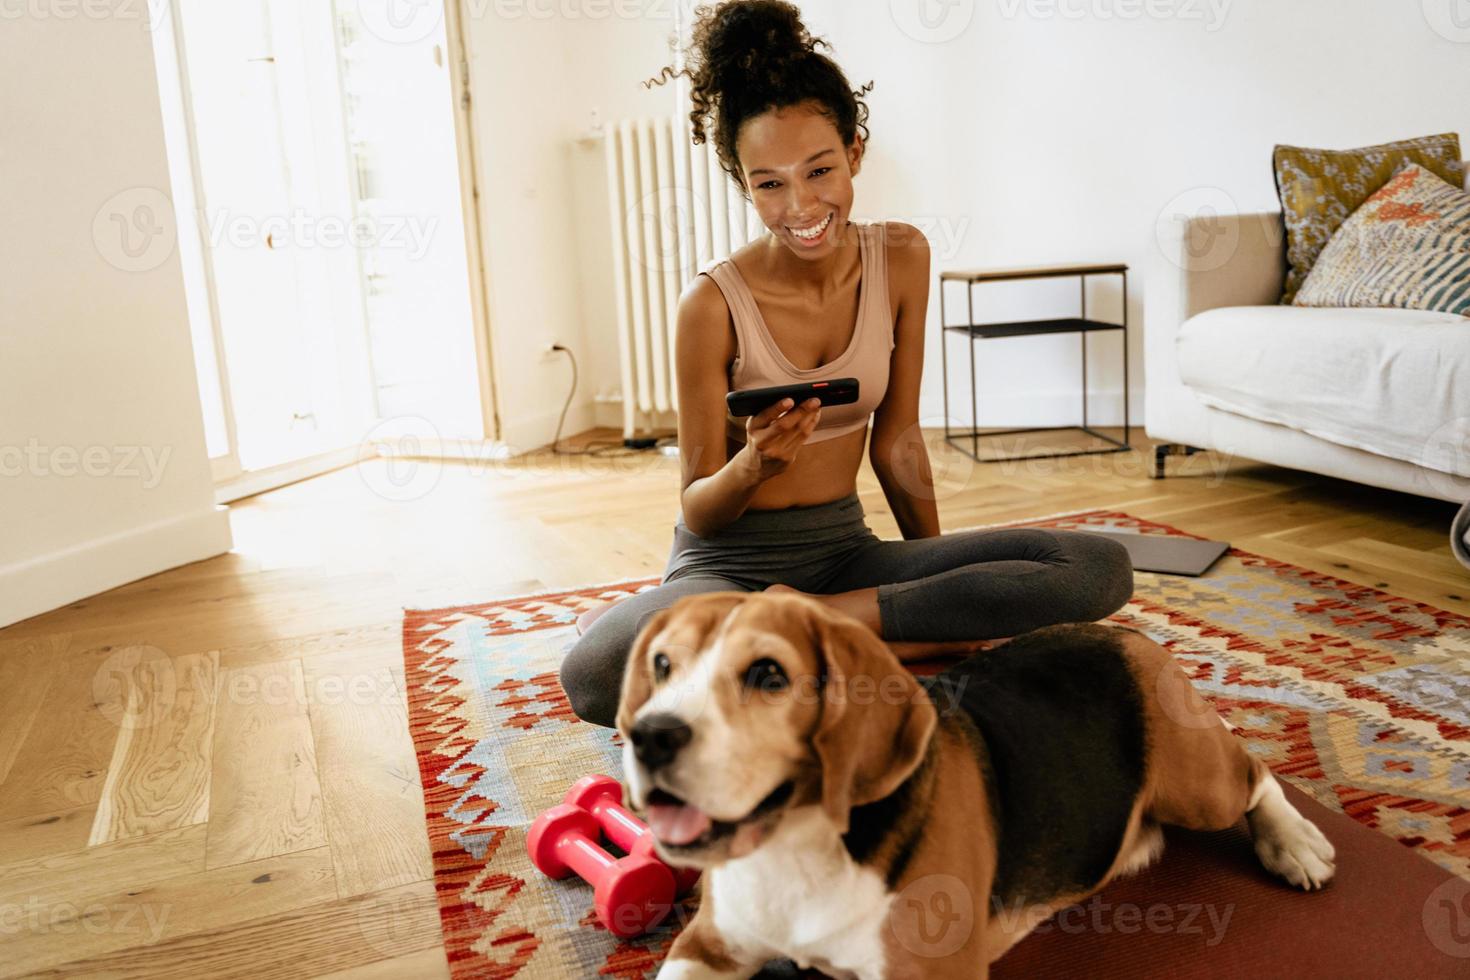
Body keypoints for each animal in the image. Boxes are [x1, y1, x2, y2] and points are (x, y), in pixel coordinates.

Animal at [614, 590, 1340, 980]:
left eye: (768, 675)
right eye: (662, 665)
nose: (649, 736)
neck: (793, 850)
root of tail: (1128, 636)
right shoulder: (705, 946)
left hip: (1198, 784)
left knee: (1257, 776)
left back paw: (1295, 844)